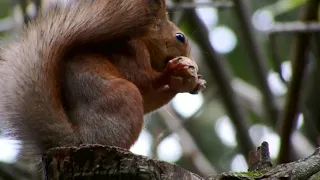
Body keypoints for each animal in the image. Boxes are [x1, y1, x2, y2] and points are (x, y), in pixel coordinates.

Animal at [0, 0, 205, 158]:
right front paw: (172, 72)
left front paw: (192, 83)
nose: (190, 60)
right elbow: (143, 81)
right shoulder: (131, 52)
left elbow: (149, 99)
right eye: (180, 37)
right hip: (124, 97)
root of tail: (80, 140)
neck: (144, 39)